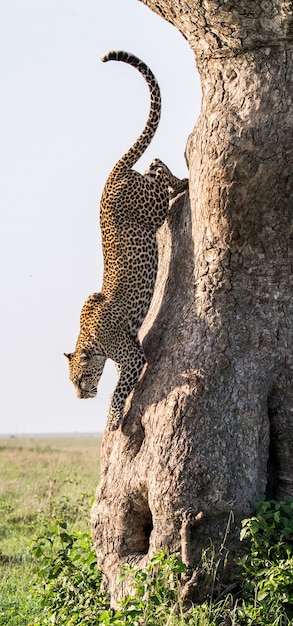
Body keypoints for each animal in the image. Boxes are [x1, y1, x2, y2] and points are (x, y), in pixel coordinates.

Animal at [64, 50, 187, 428]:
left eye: (80, 379)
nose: (81, 396)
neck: (91, 340)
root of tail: (112, 173)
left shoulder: (132, 355)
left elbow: (118, 391)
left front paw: (113, 419)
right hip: (145, 191)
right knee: (154, 162)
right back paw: (179, 180)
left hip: (152, 207)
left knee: (159, 170)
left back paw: (182, 183)